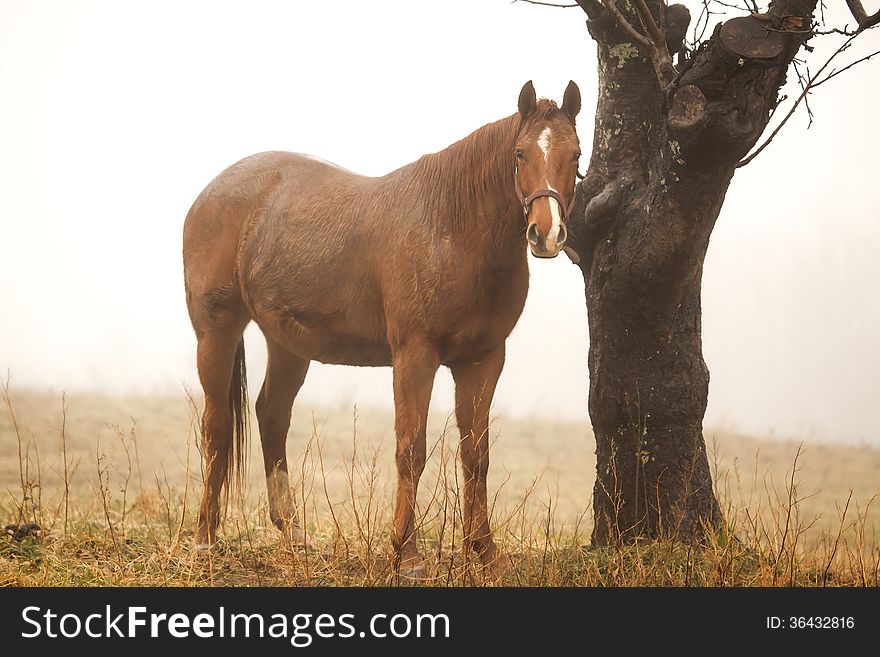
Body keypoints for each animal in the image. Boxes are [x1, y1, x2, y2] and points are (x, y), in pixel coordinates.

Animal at [182, 80, 580, 576]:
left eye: (576, 156)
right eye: (521, 153)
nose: (546, 233)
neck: (452, 227)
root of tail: (211, 195)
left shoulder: (483, 360)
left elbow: (476, 454)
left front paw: (485, 552)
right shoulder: (415, 355)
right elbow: (411, 449)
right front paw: (406, 554)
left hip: (287, 344)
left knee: (272, 415)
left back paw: (294, 533)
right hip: (216, 331)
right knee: (216, 424)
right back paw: (204, 538)